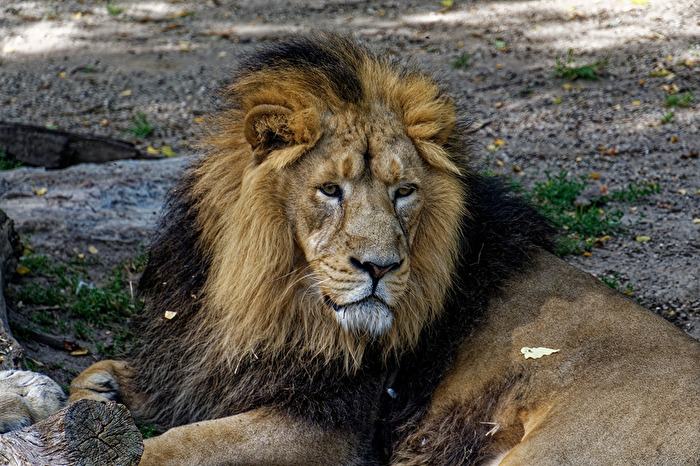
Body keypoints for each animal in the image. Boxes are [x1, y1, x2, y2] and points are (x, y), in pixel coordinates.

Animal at [68, 35, 700, 465]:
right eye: (330, 189)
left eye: (404, 192)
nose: (381, 267)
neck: (264, 300)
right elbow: (102, 382)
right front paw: (103, 391)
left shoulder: (330, 426)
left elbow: (173, 447)